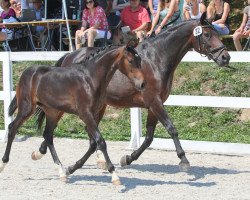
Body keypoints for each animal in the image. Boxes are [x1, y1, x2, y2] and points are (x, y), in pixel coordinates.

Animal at [0, 42, 146, 184]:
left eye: (140, 60)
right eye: (131, 61)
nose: (142, 84)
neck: (90, 79)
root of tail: (27, 72)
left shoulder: (95, 113)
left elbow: (93, 142)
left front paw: (73, 168)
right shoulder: (85, 114)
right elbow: (100, 141)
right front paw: (114, 175)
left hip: (52, 112)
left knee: (48, 135)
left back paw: (61, 172)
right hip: (27, 108)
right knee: (13, 128)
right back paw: (3, 163)